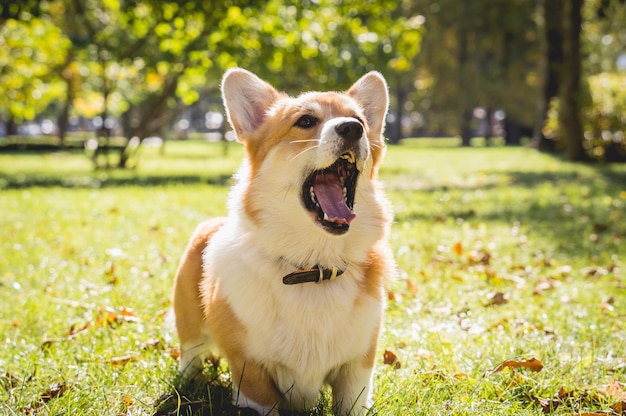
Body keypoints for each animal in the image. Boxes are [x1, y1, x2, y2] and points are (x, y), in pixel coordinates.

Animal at [173, 69, 392, 416]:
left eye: (359, 119)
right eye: (305, 121)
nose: (352, 128)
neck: (313, 267)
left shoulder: (356, 370)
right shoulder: (251, 372)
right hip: (189, 327)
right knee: (190, 355)